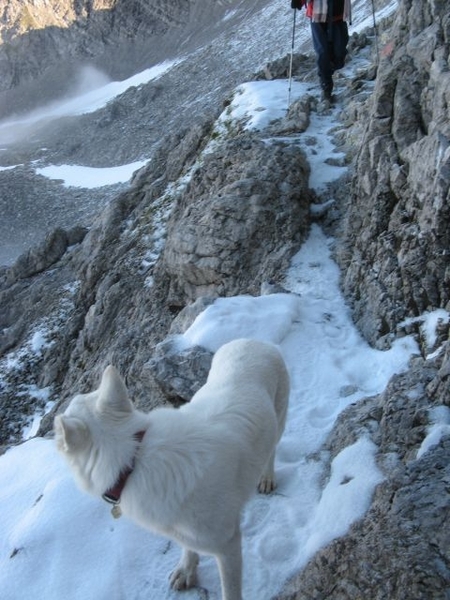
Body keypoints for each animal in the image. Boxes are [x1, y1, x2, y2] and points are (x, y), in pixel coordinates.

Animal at [54, 338, 290, 600]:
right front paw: (187, 569)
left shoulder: (227, 544)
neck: (133, 460)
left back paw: (267, 477)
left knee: (272, 449)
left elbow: (230, 591)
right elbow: (188, 547)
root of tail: (252, 341)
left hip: (279, 419)